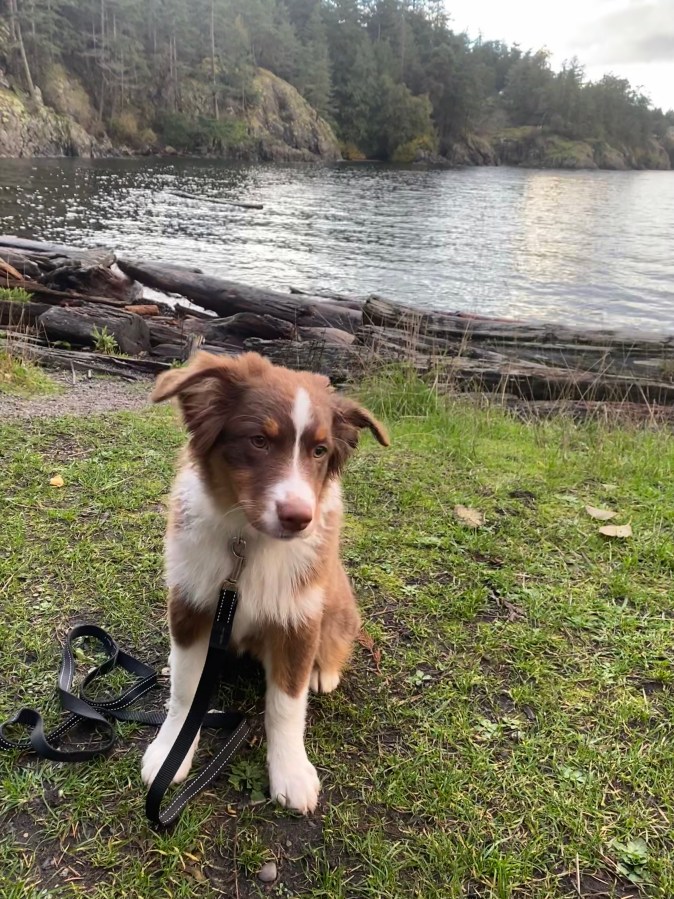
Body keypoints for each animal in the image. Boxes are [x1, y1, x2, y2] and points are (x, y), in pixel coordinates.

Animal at [141, 351, 389, 813]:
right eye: (258, 441)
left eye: (320, 450)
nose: (299, 518)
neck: (248, 543)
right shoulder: (190, 603)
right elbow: (185, 691)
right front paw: (171, 751)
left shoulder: (299, 618)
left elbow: (286, 706)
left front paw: (291, 771)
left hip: (337, 604)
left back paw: (323, 672)